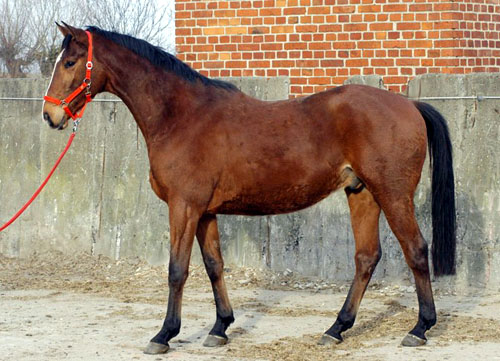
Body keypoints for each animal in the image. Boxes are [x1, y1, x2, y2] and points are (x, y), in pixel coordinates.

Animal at [43, 23, 458, 352]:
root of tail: (410, 105)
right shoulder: (205, 211)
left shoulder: (184, 206)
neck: (181, 116)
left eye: (69, 62)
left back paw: (420, 328)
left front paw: (164, 335)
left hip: (393, 195)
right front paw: (220, 327)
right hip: (362, 194)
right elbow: (214, 266)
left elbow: (177, 270)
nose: (50, 115)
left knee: (416, 251)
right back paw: (336, 329)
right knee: (366, 258)